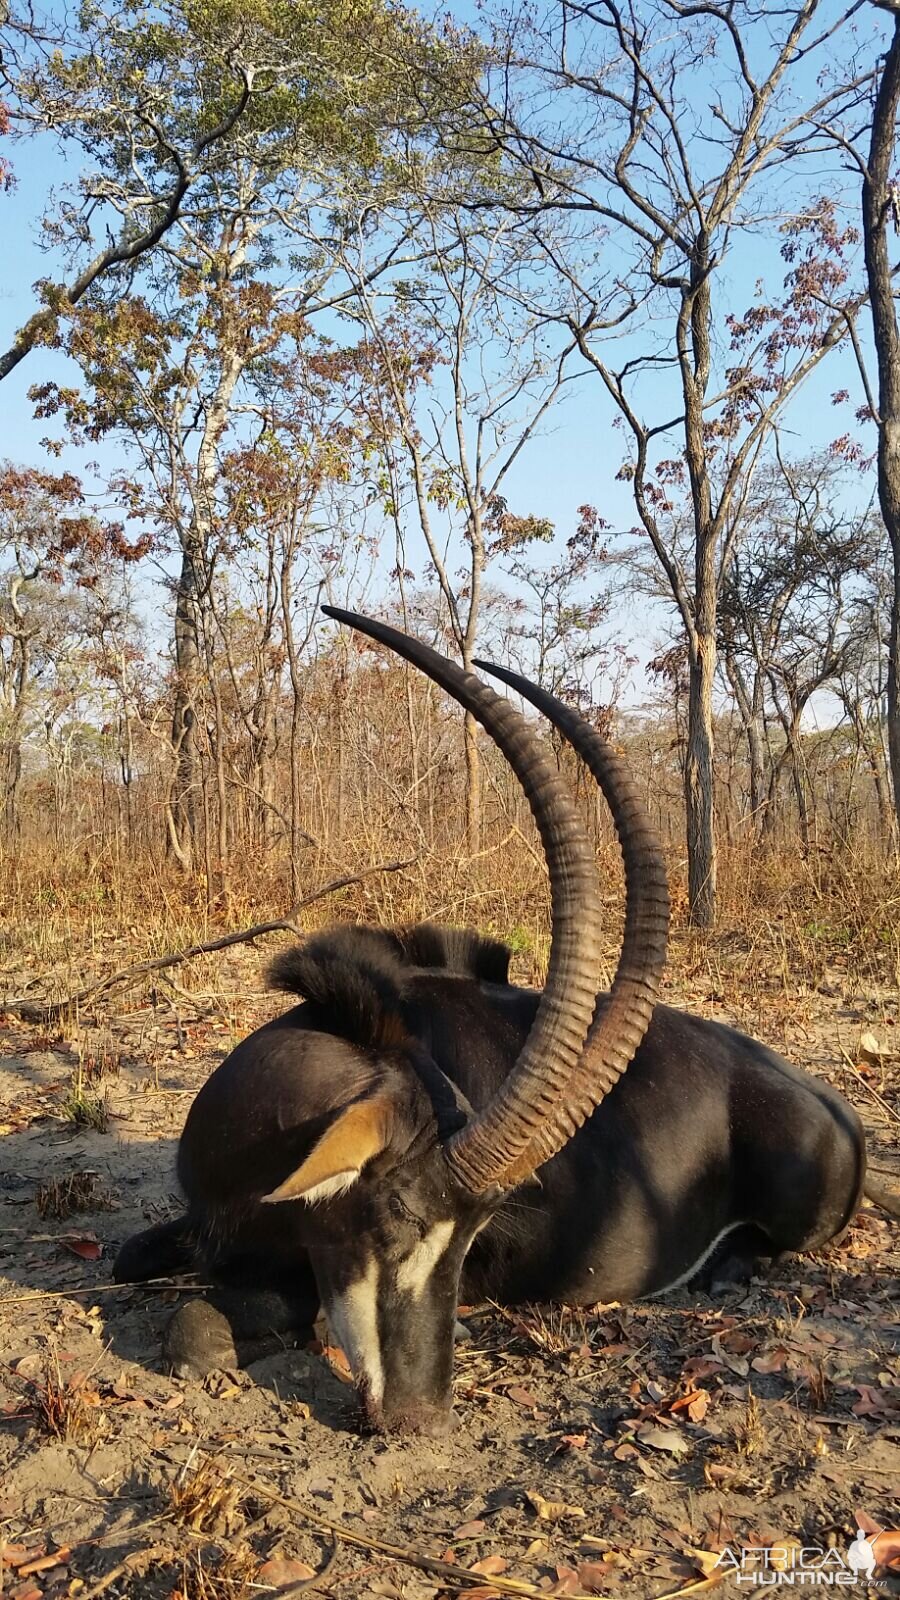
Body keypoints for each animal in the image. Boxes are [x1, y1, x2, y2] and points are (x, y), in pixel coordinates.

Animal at [115, 608, 864, 1440]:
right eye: (394, 1221)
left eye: (468, 1242)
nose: (418, 1415)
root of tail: (829, 1105)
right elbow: (127, 1258)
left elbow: (199, 1329)